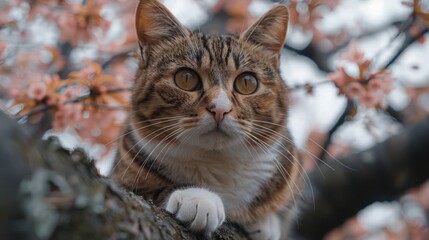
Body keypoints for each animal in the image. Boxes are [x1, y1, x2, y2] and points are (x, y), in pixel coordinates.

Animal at [111, 0, 304, 239]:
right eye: (186, 78)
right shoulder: (122, 176)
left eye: (247, 82)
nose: (220, 109)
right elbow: (146, 192)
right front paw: (198, 198)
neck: (216, 164)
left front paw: (265, 223)